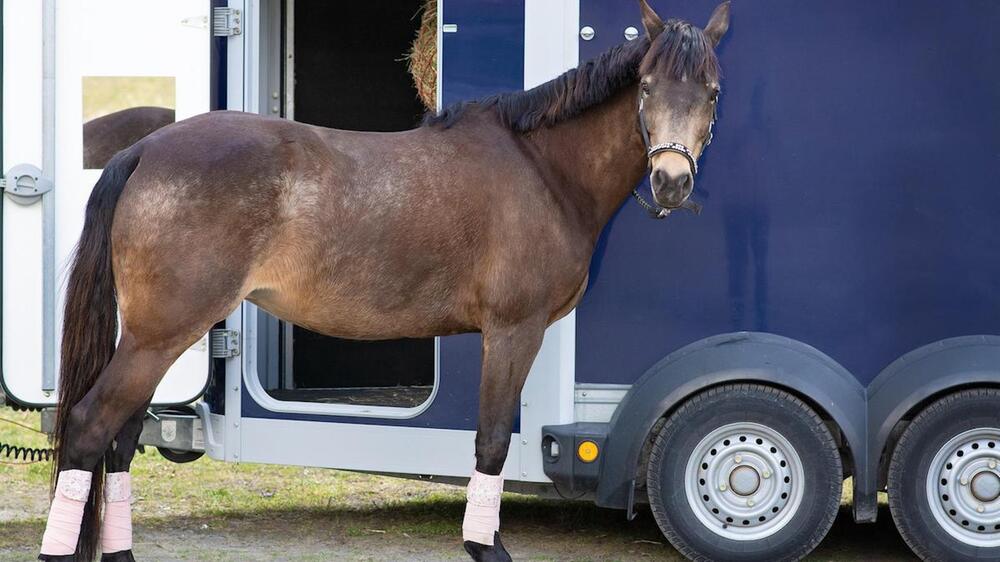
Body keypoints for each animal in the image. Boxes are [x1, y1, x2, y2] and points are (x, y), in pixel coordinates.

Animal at [39, 2, 732, 556]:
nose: (672, 182)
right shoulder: (514, 331)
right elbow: (491, 442)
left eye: (712, 91)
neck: (541, 169)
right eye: (646, 87)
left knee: (121, 441)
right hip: (161, 334)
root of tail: (146, 150)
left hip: (153, 339)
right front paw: (486, 548)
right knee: (90, 428)